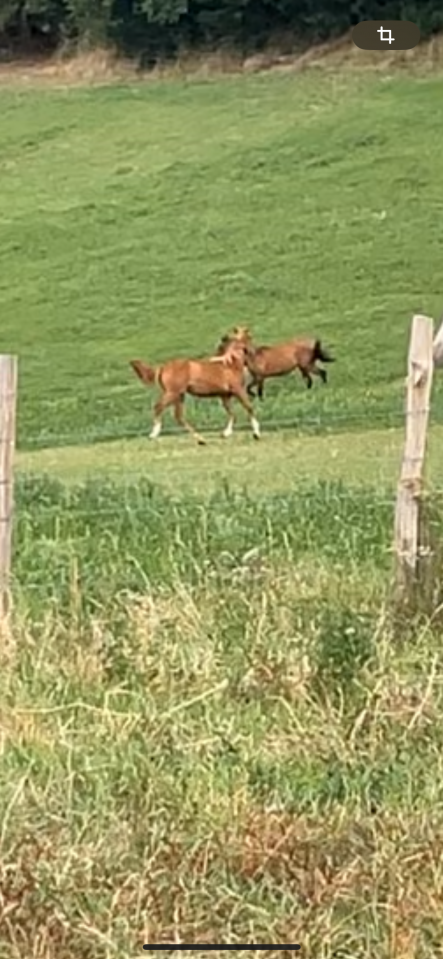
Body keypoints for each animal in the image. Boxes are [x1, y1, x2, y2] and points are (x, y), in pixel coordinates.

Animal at [129, 339, 260, 445]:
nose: (255, 353)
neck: (230, 366)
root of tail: (163, 367)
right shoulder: (238, 391)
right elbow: (249, 408)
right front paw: (256, 434)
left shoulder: (224, 396)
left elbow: (232, 414)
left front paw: (225, 434)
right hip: (172, 394)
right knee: (159, 407)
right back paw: (153, 434)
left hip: (179, 396)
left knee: (178, 416)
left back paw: (201, 440)